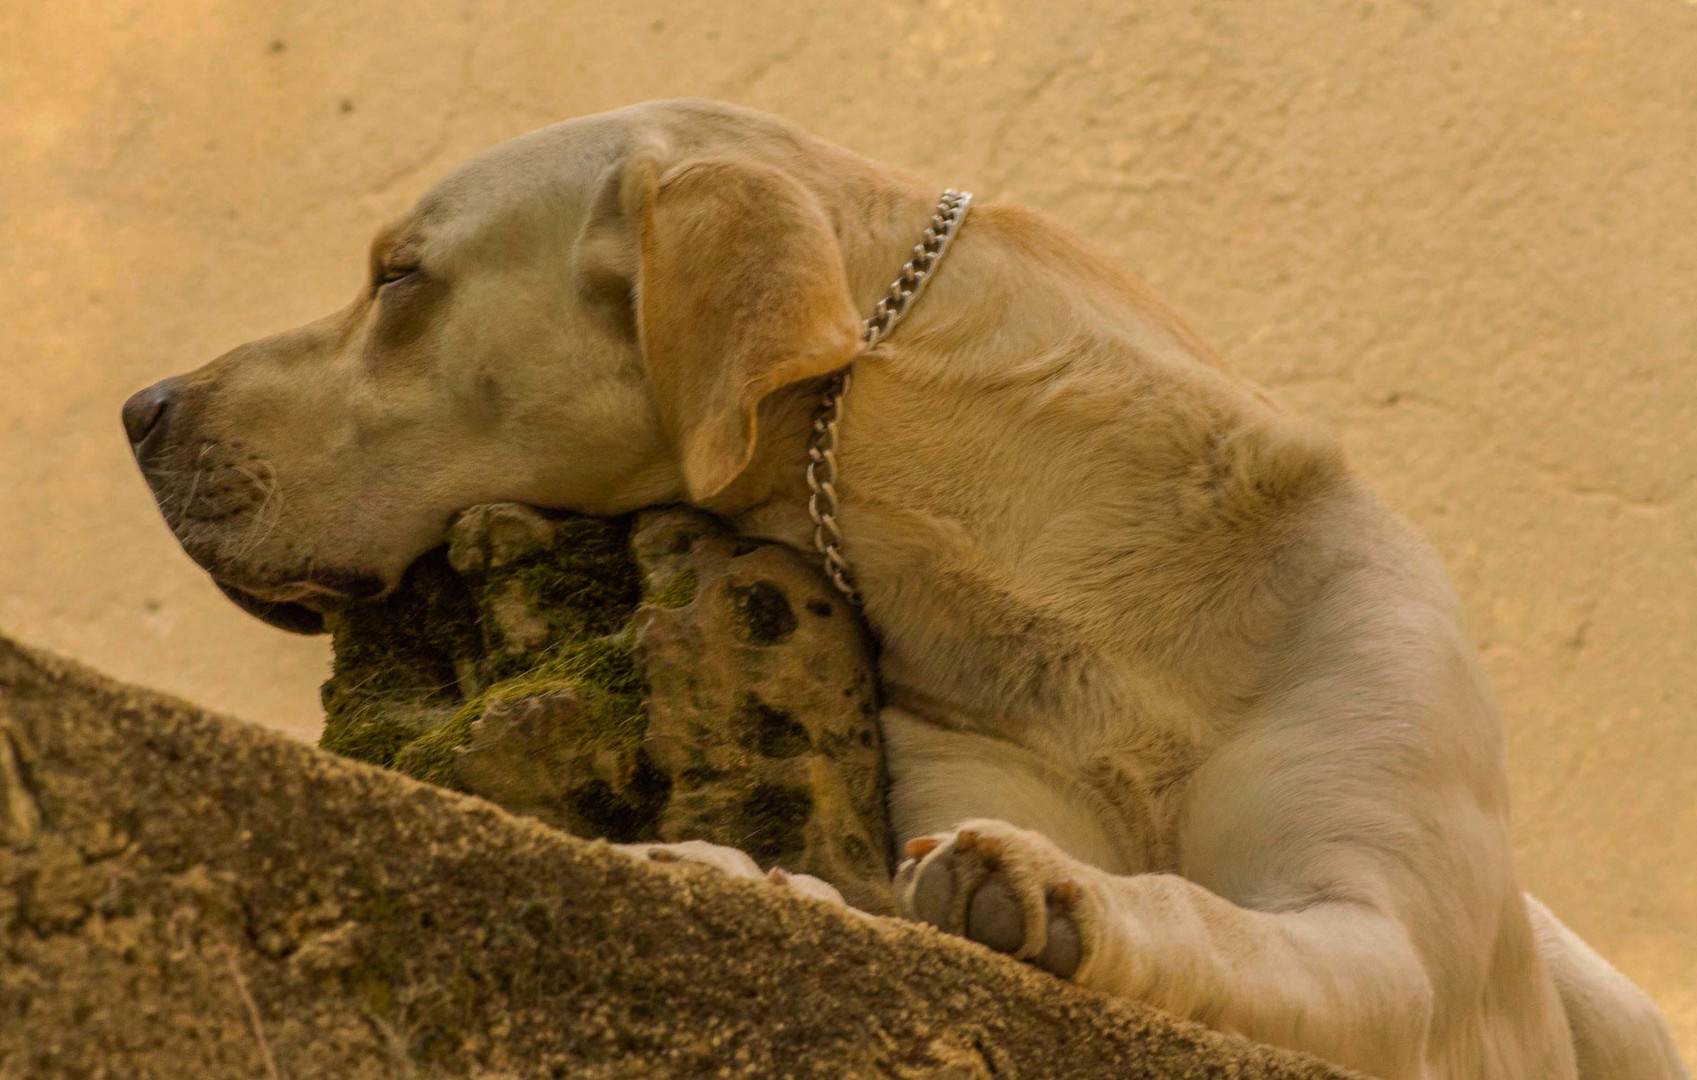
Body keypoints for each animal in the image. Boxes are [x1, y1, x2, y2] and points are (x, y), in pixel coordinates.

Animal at [125, 101, 1690, 1080]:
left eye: (399, 279)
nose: (140, 407)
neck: (1072, 596)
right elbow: (856, 893)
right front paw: (750, 879)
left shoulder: (1398, 960)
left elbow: (1209, 921)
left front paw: (1054, 891)